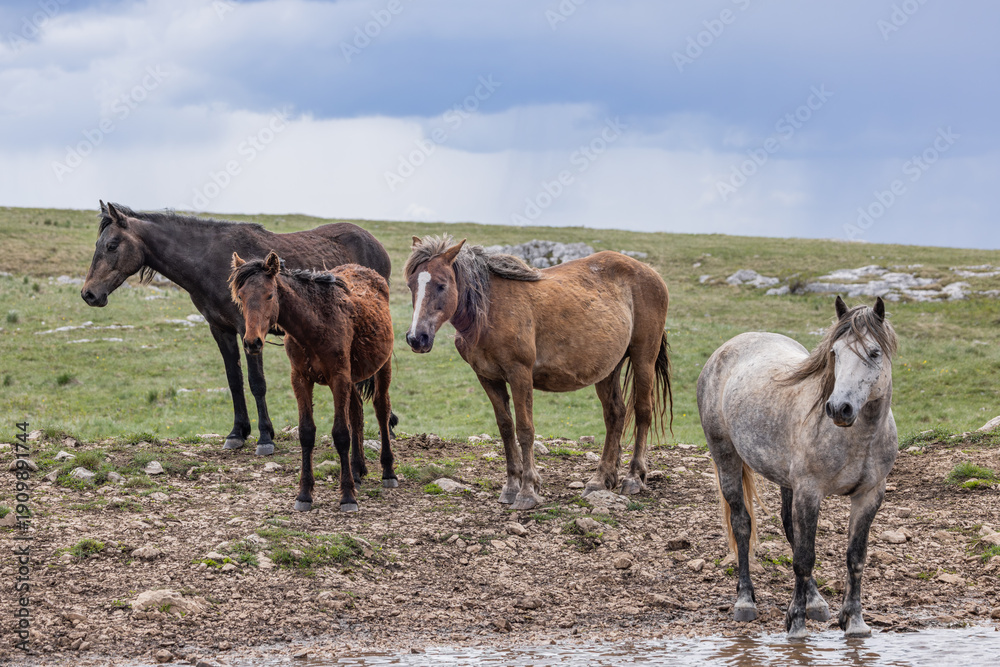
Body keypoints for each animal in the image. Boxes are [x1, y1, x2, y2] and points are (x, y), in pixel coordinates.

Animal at [81, 201, 395, 456]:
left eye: (112, 245)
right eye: (97, 245)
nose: (89, 294)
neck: (211, 262)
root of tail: (376, 244)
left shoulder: (249, 331)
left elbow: (257, 383)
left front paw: (265, 438)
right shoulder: (220, 330)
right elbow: (234, 381)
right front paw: (237, 433)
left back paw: (389, 426)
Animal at [229, 251, 396, 512]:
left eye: (269, 295)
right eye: (241, 297)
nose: (252, 342)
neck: (315, 325)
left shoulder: (339, 378)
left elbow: (341, 434)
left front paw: (347, 496)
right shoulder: (300, 380)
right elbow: (307, 433)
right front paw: (304, 494)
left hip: (382, 367)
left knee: (381, 410)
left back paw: (388, 472)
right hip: (353, 377)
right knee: (357, 413)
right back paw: (357, 470)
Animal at [403, 235, 673, 511]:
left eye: (441, 285)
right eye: (411, 284)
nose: (417, 338)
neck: (490, 310)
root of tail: (651, 272)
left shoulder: (519, 374)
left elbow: (525, 430)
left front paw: (527, 491)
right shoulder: (488, 378)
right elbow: (505, 428)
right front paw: (511, 487)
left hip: (643, 358)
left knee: (643, 412)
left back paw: (634, 477)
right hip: (608, 369)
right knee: (615, 415)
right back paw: (600, 480)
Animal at [697, 296, 898, 639]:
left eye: (874, 353)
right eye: (835, 353)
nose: (839, 408)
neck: (858, 438)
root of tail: (726, 348)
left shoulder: (869, 496)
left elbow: (855, 558)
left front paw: (854, 621)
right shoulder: (810, 492)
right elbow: (804, 559)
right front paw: (796, 624)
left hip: (786, 481)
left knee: (789, 526)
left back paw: (816, 601)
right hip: (726, 458)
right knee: (741, 524)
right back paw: (745, 602)